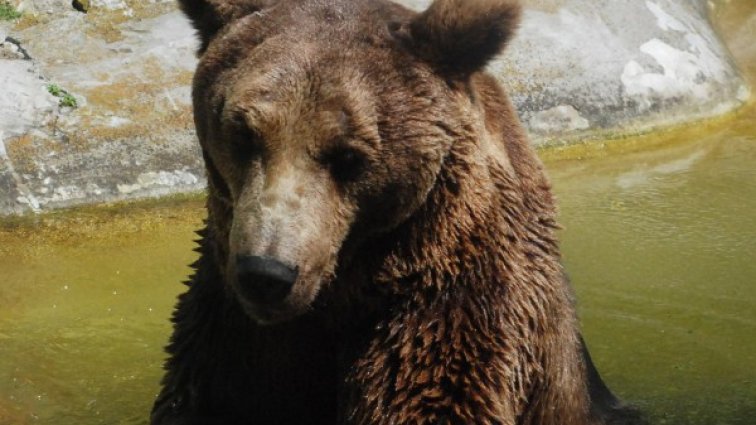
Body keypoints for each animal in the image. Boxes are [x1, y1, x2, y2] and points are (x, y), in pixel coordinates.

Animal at [151, 0, 640, 424]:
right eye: (243, 133)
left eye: (347, 155)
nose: (266, 274)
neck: (341, 292)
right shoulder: (231, 334)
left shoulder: (445, 321)